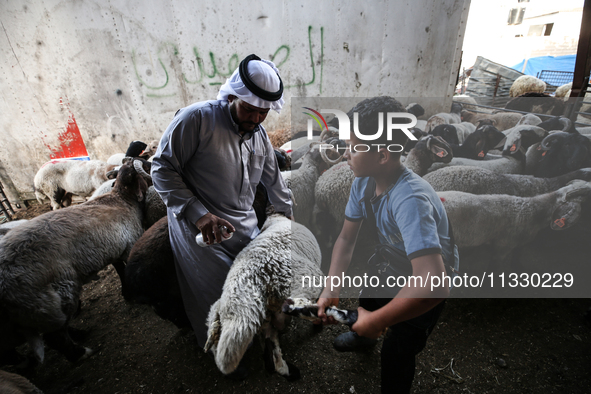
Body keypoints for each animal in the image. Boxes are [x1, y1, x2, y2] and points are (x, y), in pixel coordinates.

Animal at [0, 161, 148, 364]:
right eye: (138, 173)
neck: (122, 199)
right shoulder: (130, 244)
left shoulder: (115, 250)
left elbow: (120, 271)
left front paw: (126, 293)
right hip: (53, 296)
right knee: (54, 336)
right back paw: (81, 352)